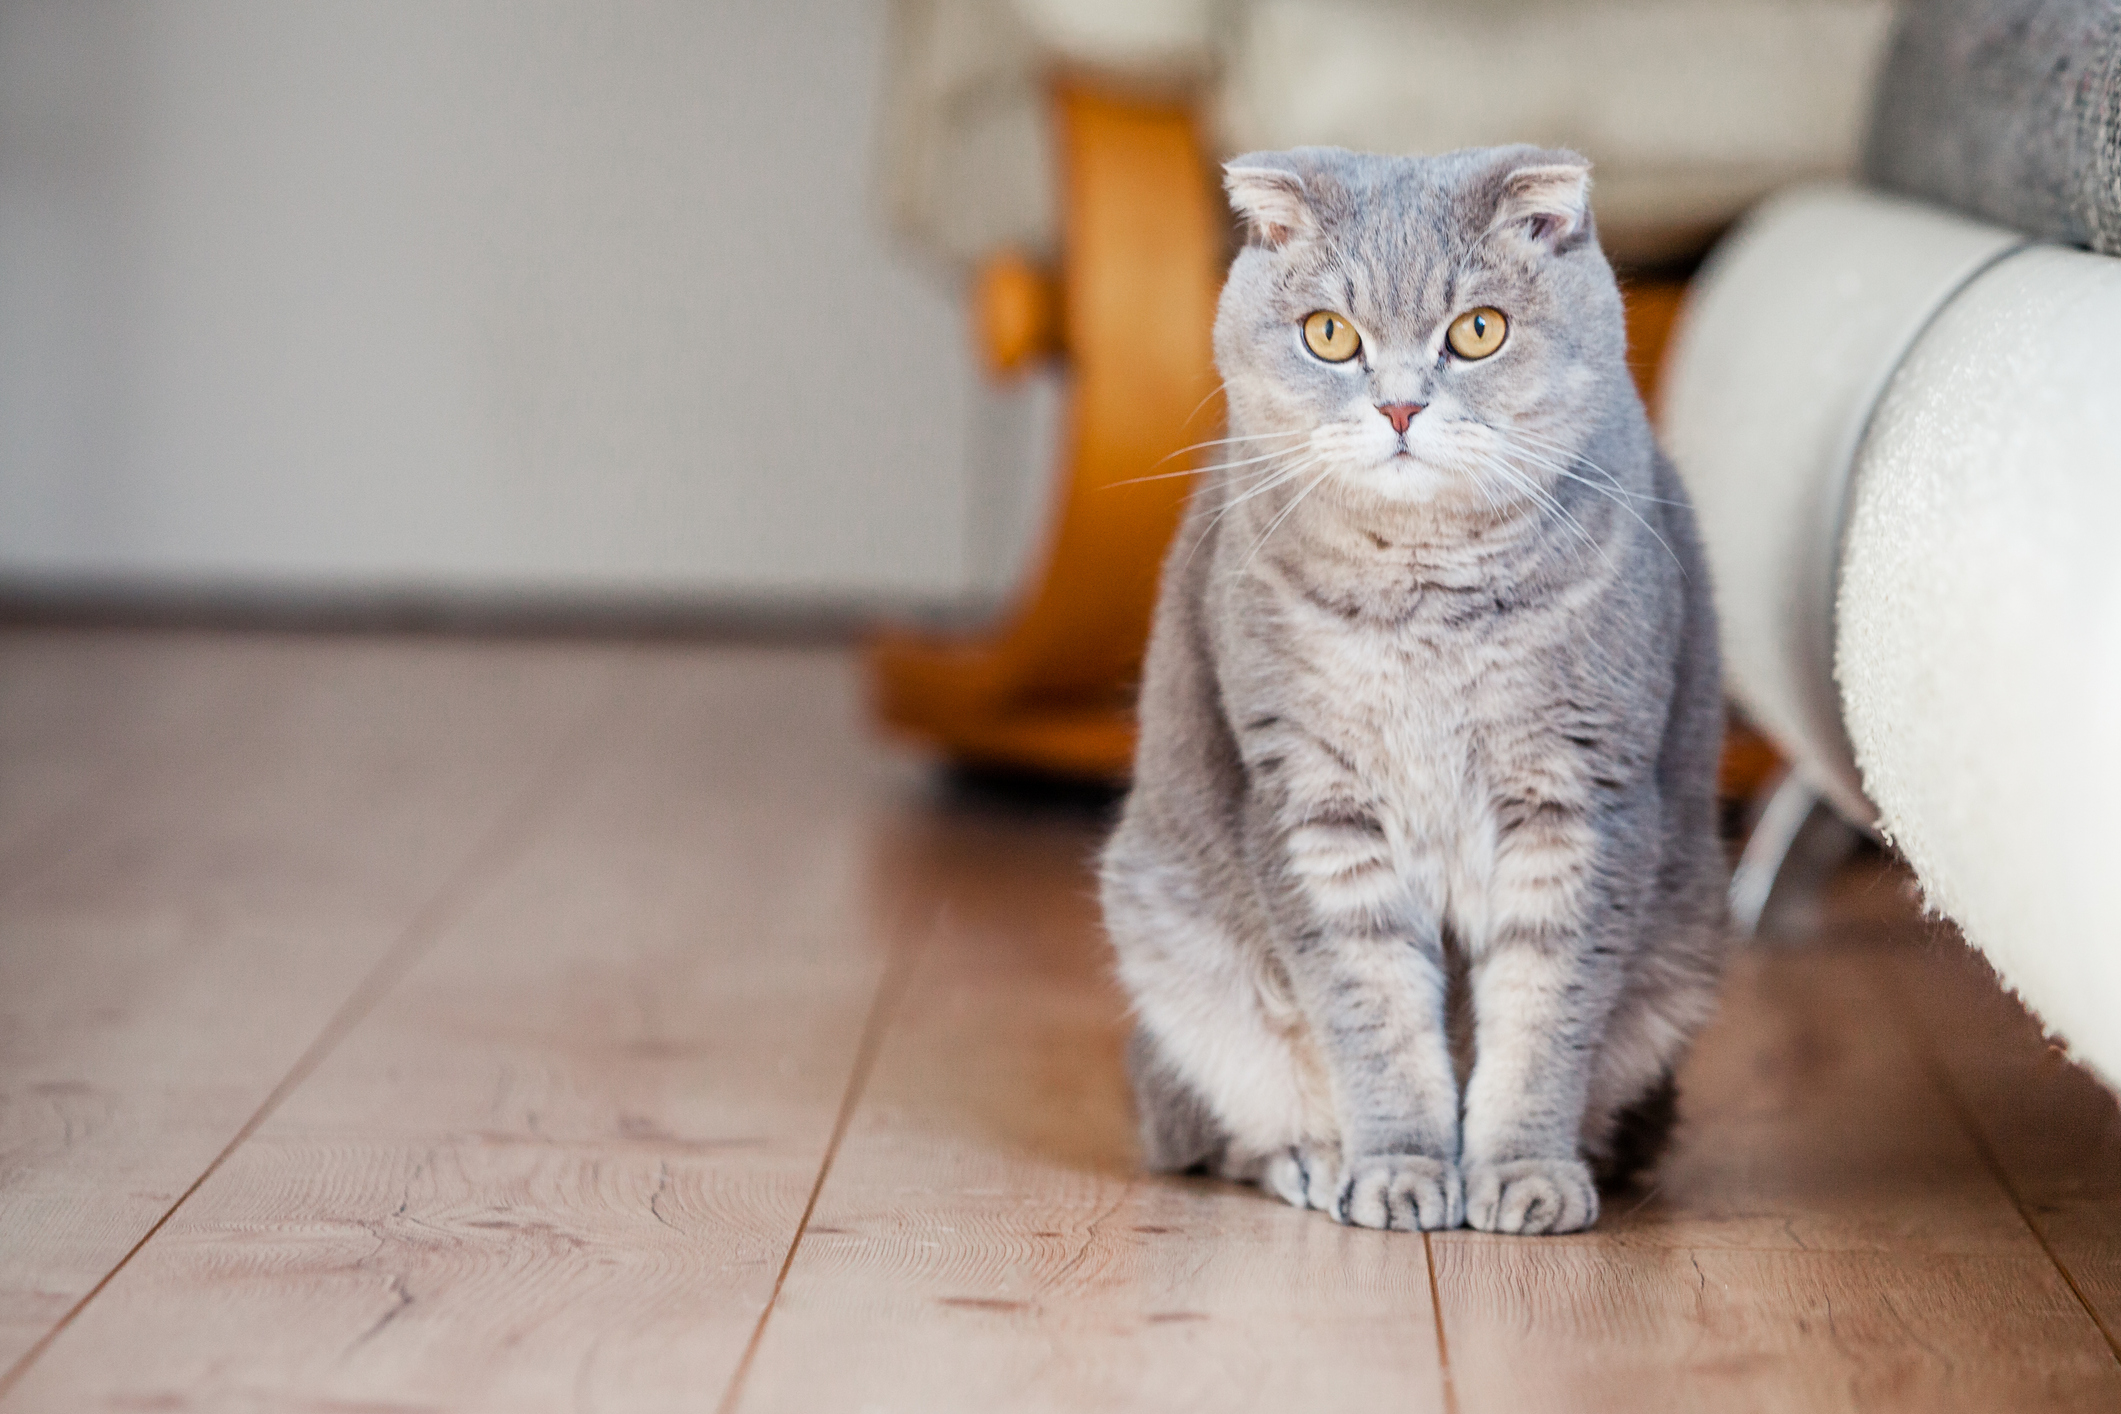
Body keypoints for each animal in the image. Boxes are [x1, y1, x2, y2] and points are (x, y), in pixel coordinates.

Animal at [1102, 140, 1730, 1229]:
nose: (1399, 406)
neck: (1427, 603)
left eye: (1477, 331)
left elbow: (1540, 1021)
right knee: (1214, 1128)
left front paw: (1523, 1170)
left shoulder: (1580, 802)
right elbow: (1377, 1017)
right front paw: (1400, 1167)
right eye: (1329, 334)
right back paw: (1314, 1158)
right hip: (1176, 950)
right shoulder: (1316, 807)